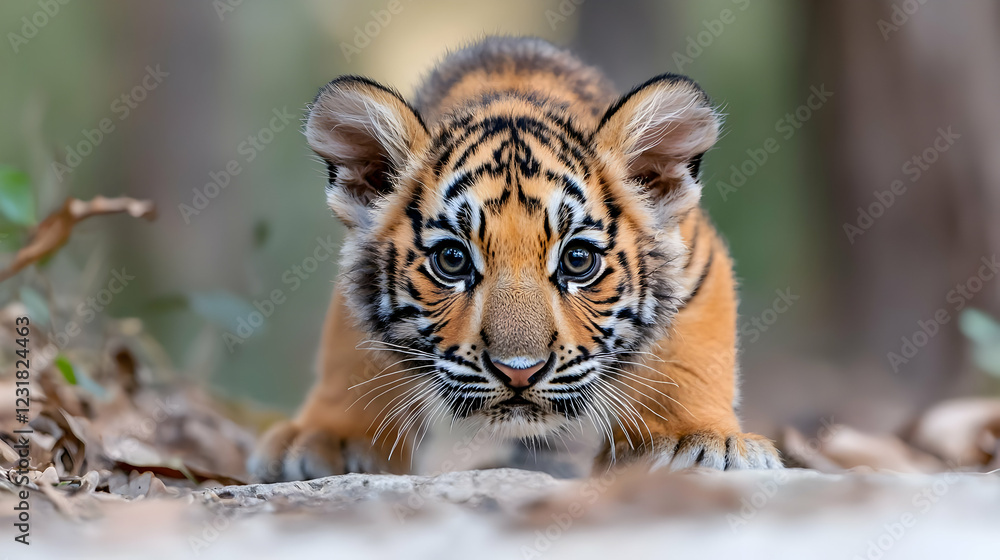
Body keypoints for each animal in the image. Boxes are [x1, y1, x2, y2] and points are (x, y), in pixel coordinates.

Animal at [249, 36, 782, 482]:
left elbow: (685, 359)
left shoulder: (697, 260)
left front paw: (695, 438)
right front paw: (330, 437)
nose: (519, 371)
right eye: (452, 260)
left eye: (578, 260)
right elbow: (351, 358)